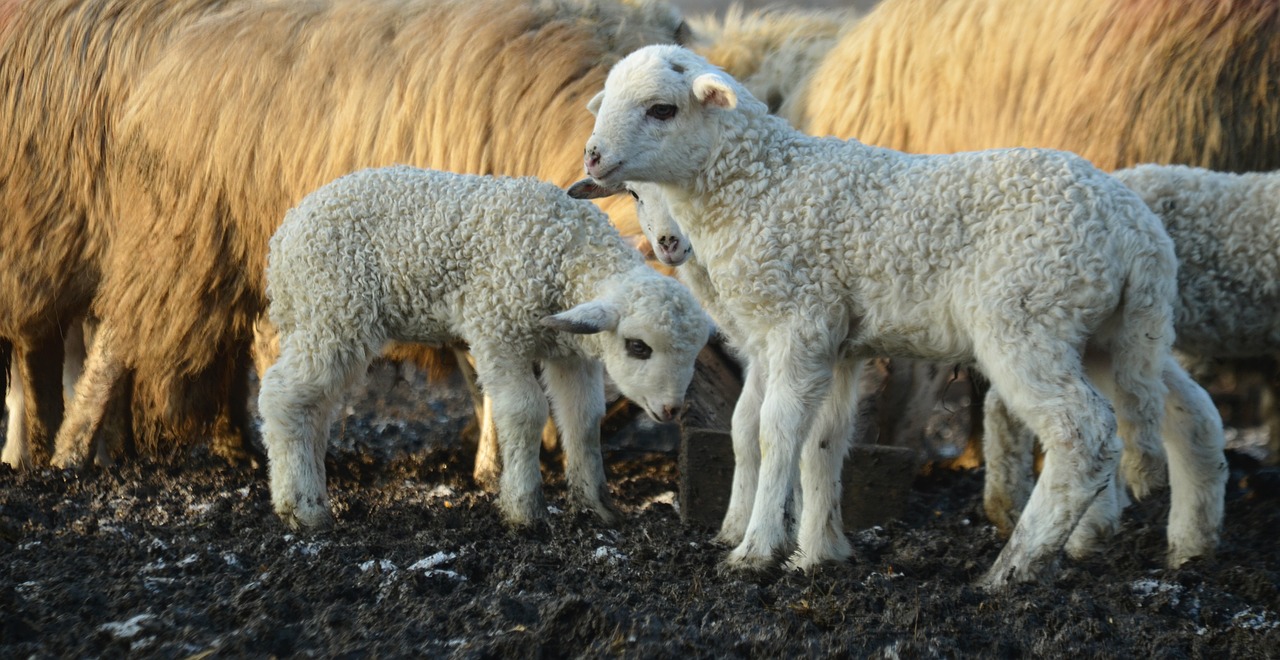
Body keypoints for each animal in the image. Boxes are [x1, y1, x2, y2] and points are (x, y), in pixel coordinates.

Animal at [259, 166, 711, 532]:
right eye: (638, 346)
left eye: (692, 354)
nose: (671, 409)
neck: (565, 247)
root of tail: (282, 240)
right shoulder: (498, 330)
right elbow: (525, 411)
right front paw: (525, 509)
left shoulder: (570, 351)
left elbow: (584, 419)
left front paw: (597, 507)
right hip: (331, 312)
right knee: (282, 395)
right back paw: (301, 509)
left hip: (319, 321)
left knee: (314, 409)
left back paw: (311, 492)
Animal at [576, 43, 1223, 585]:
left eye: (662, 109)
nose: (594, 155)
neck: (761, 186)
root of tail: (1137, 231)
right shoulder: (834, 341)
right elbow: (823, 441)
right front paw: (818, 553)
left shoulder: (798, 322)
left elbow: (774, 431)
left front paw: (755, 551)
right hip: (1114, 332)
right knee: (1184, 409)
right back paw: (1187, 544)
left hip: (1027, 317)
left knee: (1083, 432)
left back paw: (1013, 569)